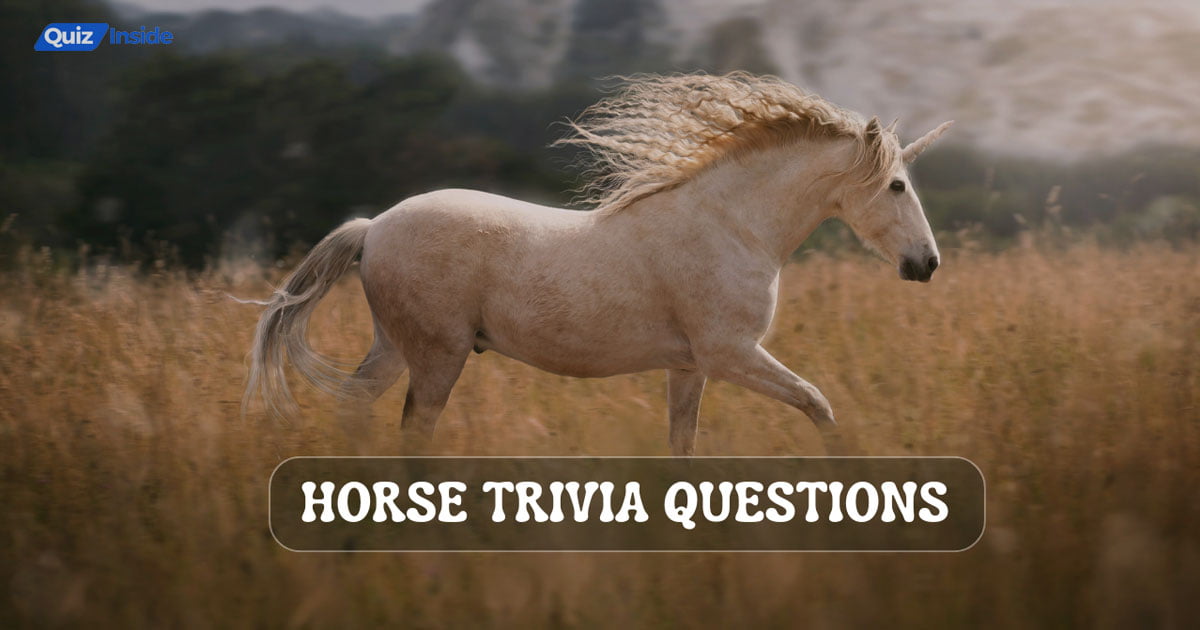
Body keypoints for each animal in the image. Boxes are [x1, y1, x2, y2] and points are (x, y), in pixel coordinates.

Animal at [243, 72, 953, 456]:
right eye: (897, 186)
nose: (927, 263)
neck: (732, 225)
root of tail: (373, 227)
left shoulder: (690, 366)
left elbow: (684, 446)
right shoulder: (731, 354)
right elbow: (818, 405)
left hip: (397, 347)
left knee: (355, 406)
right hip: (438, 355)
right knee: (412, 434)